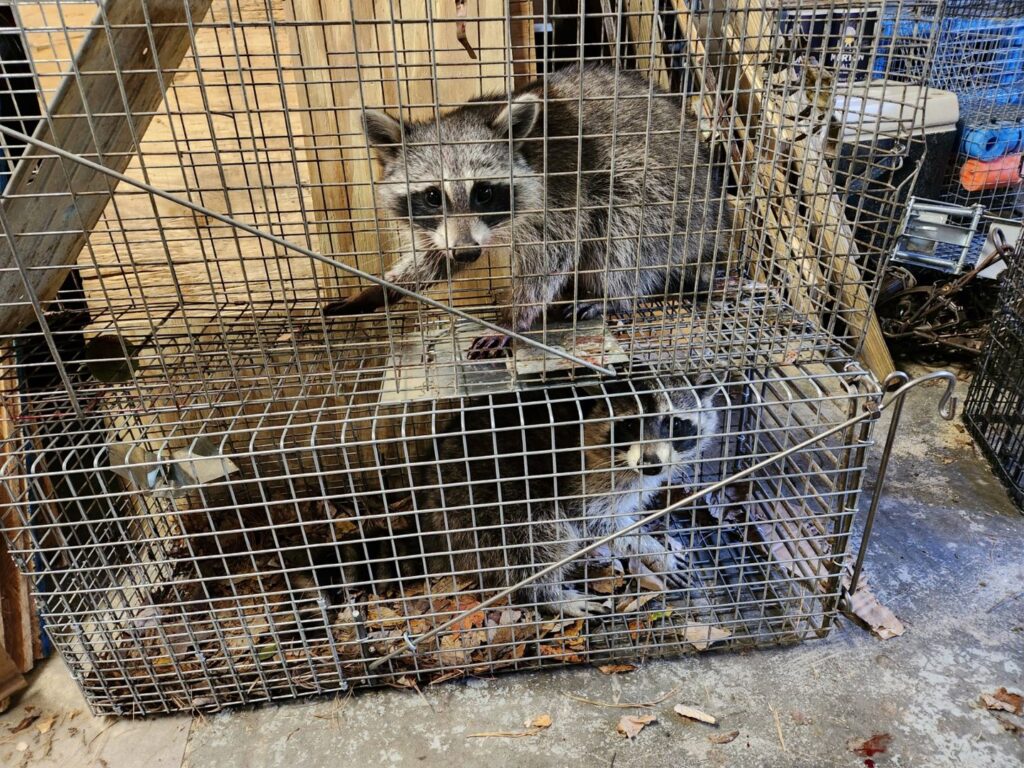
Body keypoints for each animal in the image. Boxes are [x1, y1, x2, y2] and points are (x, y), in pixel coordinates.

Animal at [326, 63, 725, 357]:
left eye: (484, 192)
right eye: (433, 196)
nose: (468, 253)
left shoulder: (561, 188)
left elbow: (552, 254)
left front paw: (515, 316)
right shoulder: (445, 229)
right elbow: (433, 257)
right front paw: (381, 289)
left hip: (672, 199)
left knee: (623, 224)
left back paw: (613, 296)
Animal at [398, 371, 720, 617]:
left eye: (674, 423)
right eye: (630, 425)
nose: (651, 464)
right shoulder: (581, 478)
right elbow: (598, 522)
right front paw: (652, 550)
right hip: (481, 508)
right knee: (542, 536)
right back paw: (548, 596)